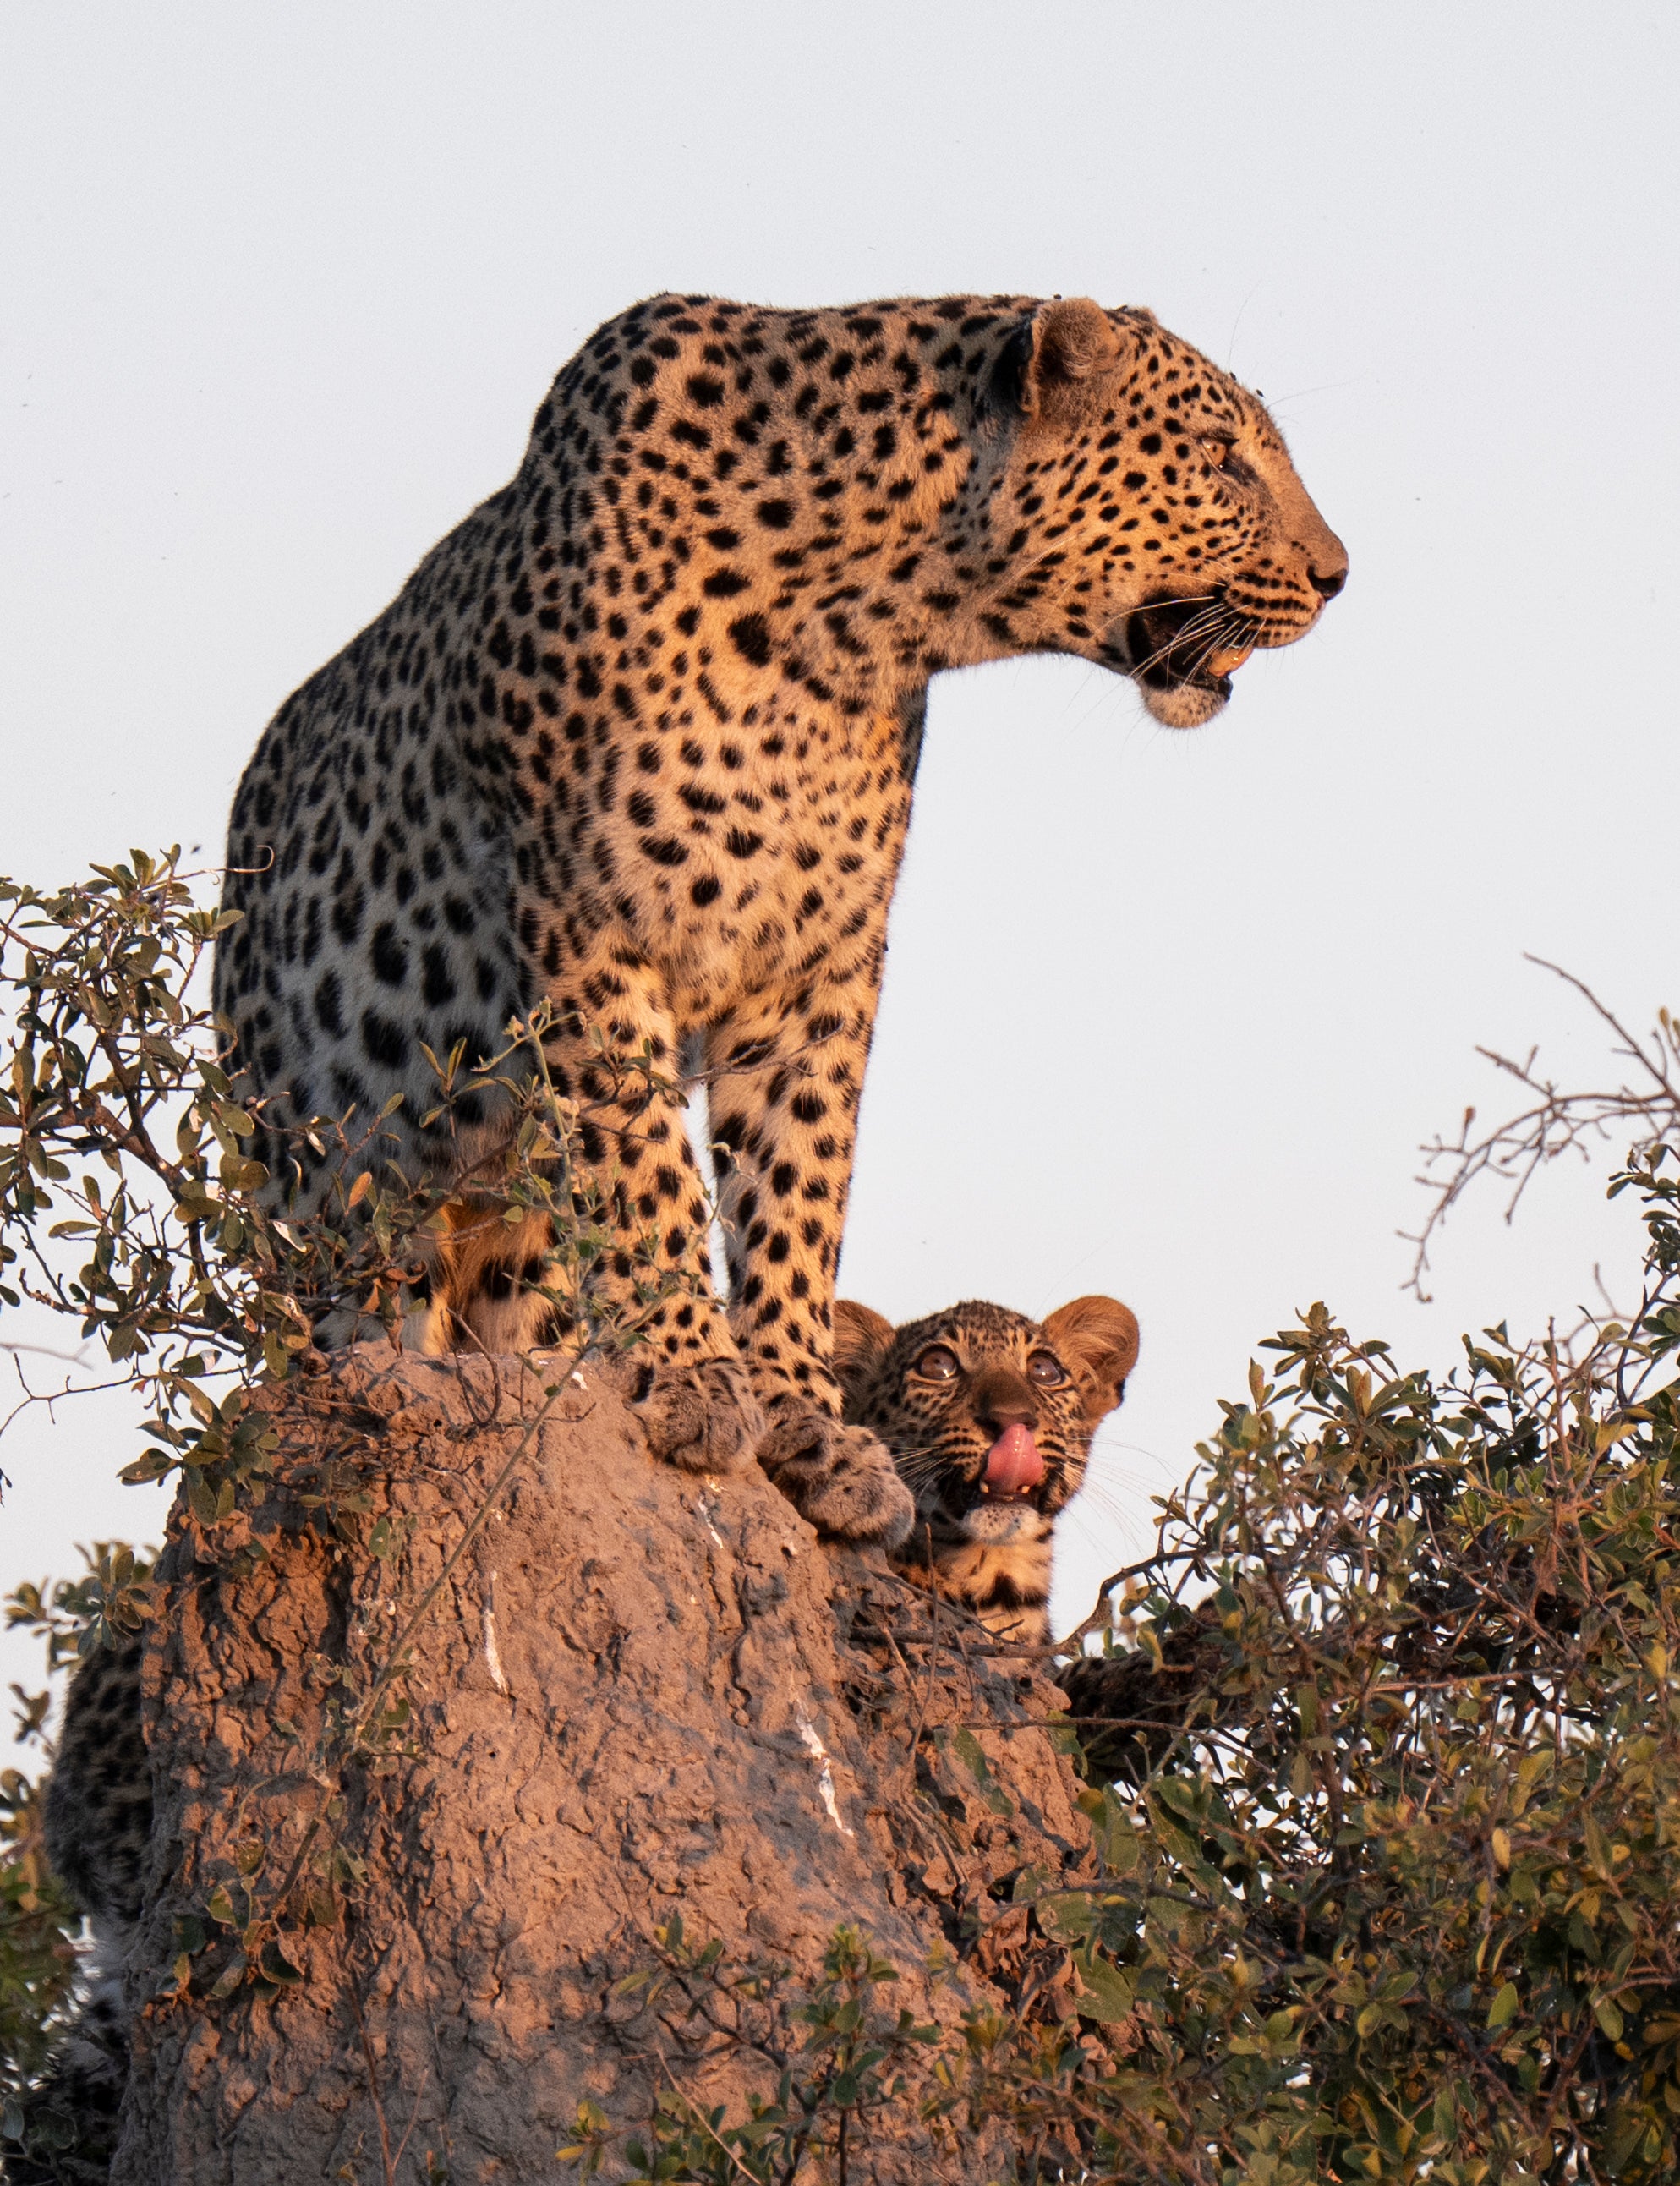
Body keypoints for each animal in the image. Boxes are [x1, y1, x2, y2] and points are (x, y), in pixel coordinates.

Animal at [214, 289, 1346, 1551]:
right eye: (1222, 458)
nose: (1337, 574)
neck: (857, 622)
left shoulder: (819, 965)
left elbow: (796, 1191)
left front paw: (809, 1423)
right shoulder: (590, 924)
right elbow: (648, 1169)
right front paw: (691, 1375)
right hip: (330, 1206)